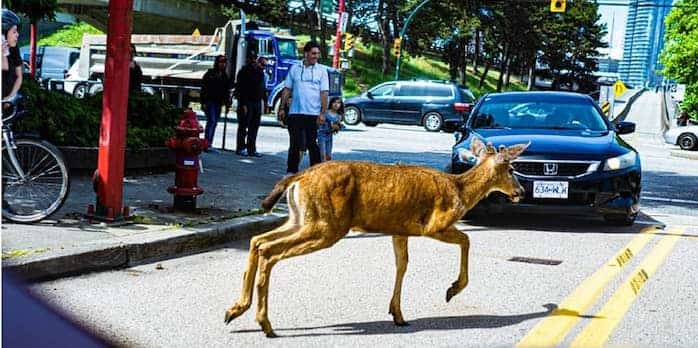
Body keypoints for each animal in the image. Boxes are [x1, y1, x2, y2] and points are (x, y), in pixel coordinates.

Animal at [223, 137, 528, 336]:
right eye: (511, 169)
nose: (520, 192)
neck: (461, 192)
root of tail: (297, 178)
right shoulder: (434, 225)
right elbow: (467, 240)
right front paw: (452, 290)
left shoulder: (399, 230)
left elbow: (402, 265)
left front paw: (398, 314)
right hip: (327, 226)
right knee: (269, 250)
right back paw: (264, 323)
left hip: (302, 219)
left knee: (257, 241)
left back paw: (235, 310)